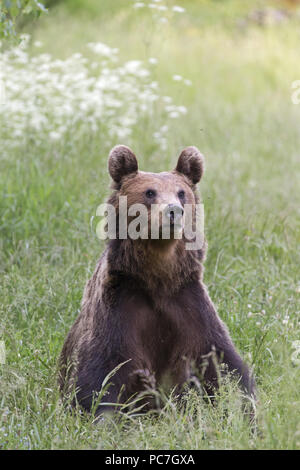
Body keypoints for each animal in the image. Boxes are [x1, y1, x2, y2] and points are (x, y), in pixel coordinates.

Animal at [58, 146, 255, 414]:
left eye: (181, 193)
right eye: (149, 192)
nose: (174, 211)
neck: (158, 279)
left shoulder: (189, 306)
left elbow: (224, 366)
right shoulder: (119, 308)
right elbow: (97, 374)